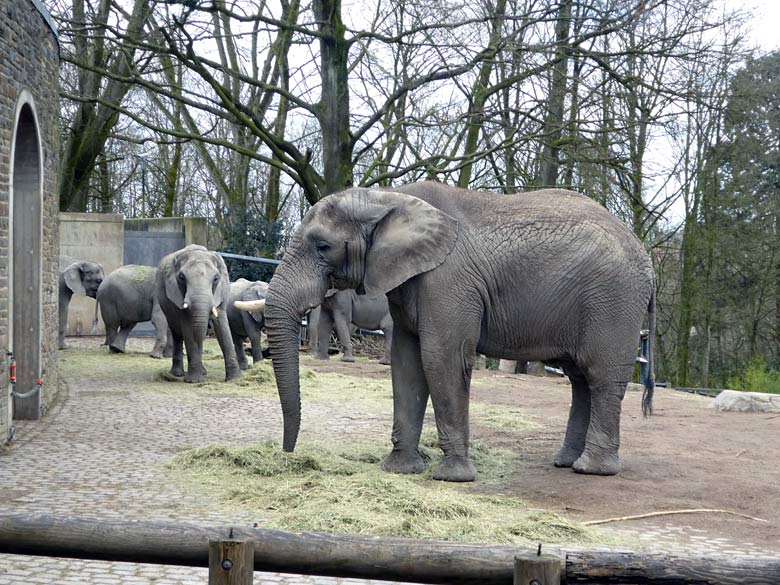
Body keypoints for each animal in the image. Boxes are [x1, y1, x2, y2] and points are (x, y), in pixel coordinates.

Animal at [157, 243, 242, 384]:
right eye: (181, 277)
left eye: (216, 278)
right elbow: (187, 327)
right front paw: (194, 381)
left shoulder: (222, 291)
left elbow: (222, 325)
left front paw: (235, 379)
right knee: (177, 334)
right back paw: (178, 374)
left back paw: (202, 371)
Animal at [241, 184, 656, 484]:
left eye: (323, 246)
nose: (288, 453)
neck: (389, 197)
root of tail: (646, 255)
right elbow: (407, 364)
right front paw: (399, 470)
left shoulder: (448, 282)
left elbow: (441, 358)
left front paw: (452, 478)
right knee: (579, 379)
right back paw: (566, 463)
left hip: (613, 301)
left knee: (600, 376)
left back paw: (592, 470)